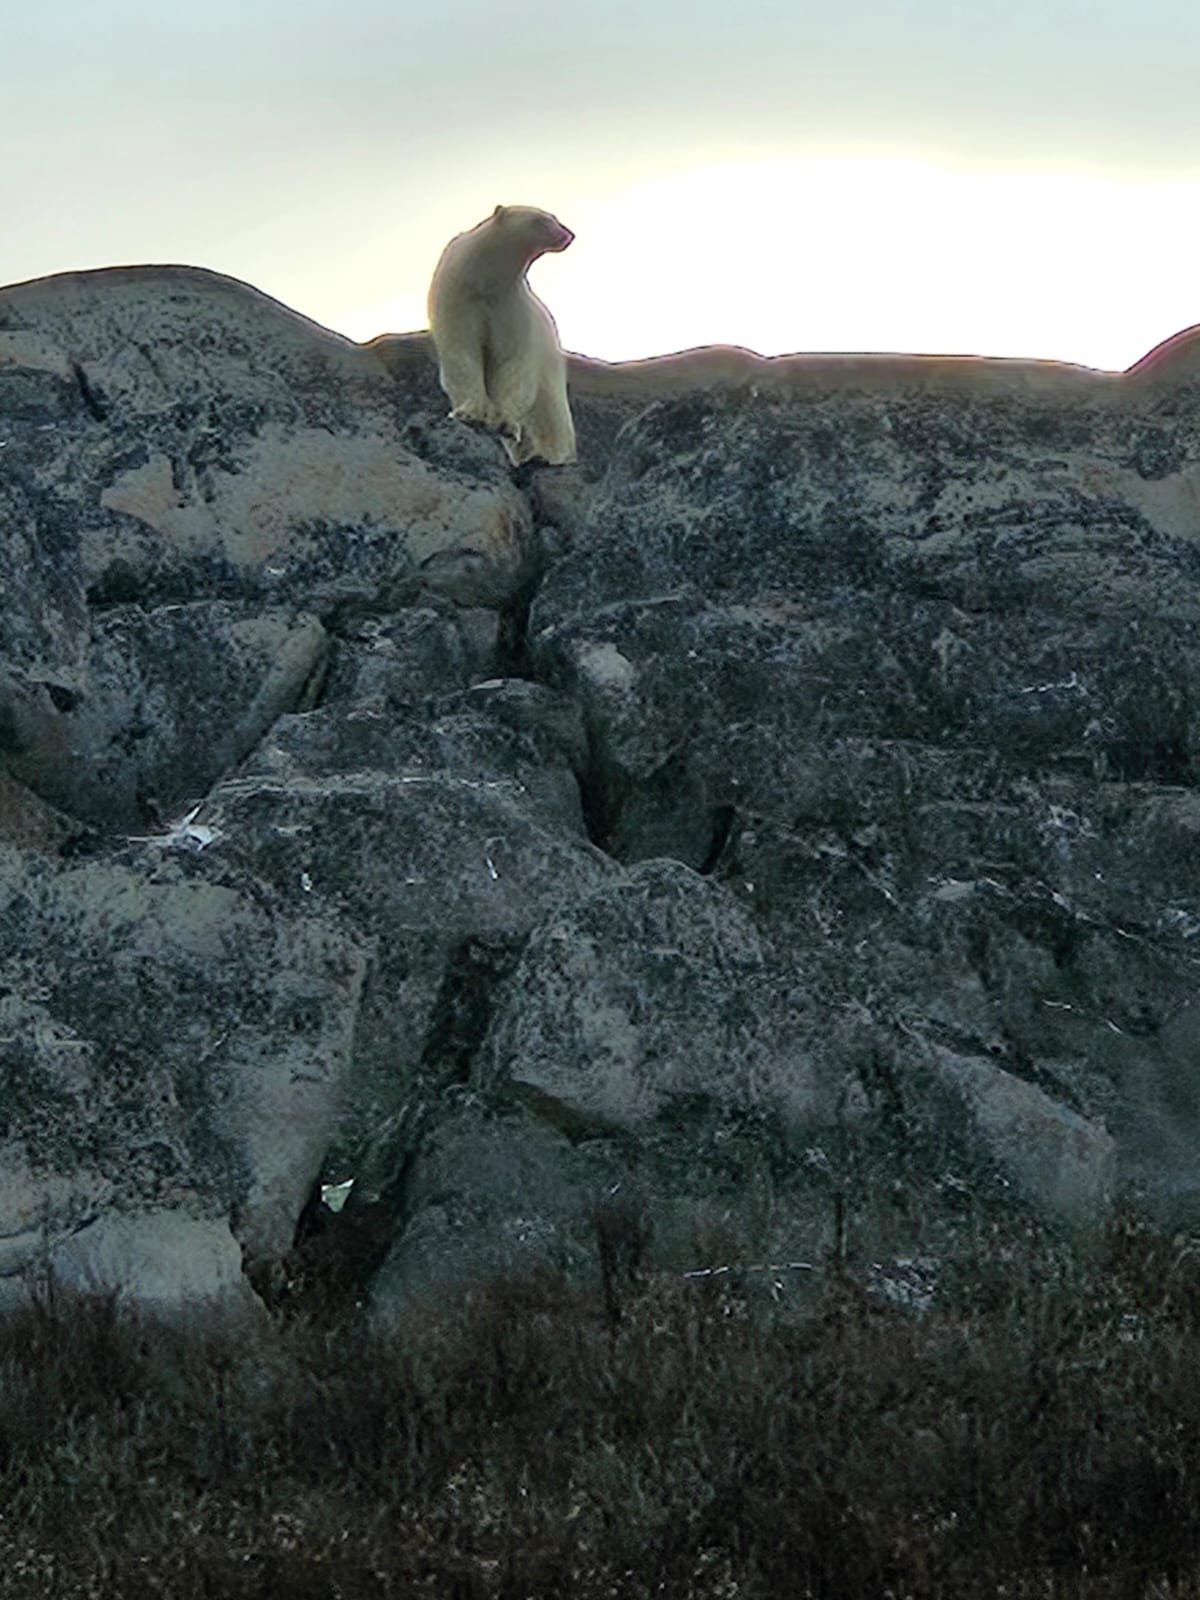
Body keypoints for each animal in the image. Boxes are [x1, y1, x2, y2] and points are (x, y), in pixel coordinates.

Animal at [427, 205, 577, 466]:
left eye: (554, 218)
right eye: (541, 219)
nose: (568, 234)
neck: (485, 279)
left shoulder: (510, 306)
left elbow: (511, 362)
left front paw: (505, 423)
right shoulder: (458, 297)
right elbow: (462, 352)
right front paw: (469, 413)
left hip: (549, 362)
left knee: (549, 412)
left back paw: (549, 455)